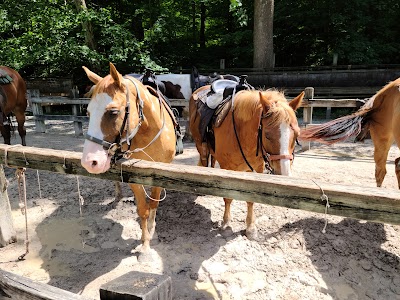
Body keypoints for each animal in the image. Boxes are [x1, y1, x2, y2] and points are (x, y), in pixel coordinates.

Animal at [80, 62, 176, 258]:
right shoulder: (133, 176)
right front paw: (145, 243)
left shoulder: (160, 173)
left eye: (113, 112)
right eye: (88, 112)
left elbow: (153, 204)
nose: (89, 162)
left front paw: (151, 229)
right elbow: (142, 209)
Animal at [189, 87, 304, 239]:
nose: (284, 175)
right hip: (200, 146)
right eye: (267, 135)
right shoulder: (227, 169)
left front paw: (250, 228)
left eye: (297, 134)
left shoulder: (257, 169)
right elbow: (228, 198)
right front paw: (226, 224)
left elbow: (251, 199)